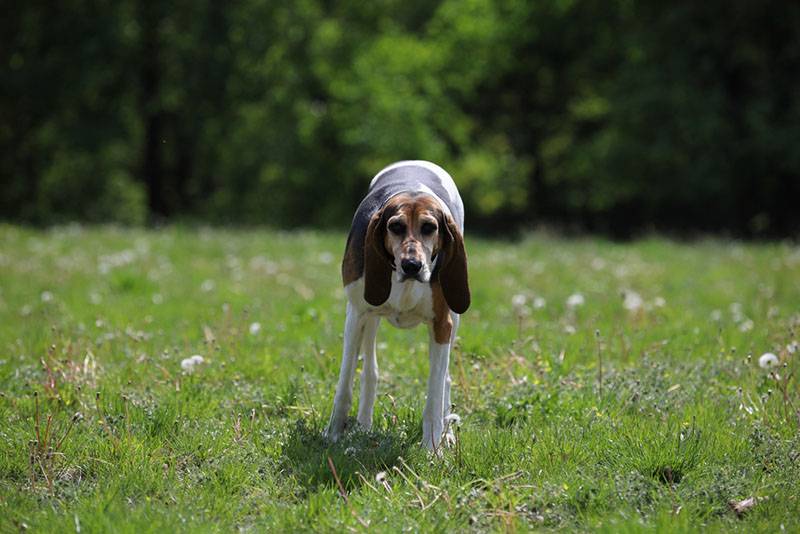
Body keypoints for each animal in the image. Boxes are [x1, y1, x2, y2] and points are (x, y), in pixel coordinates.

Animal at [324, 160, 468, 452]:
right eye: (395, 226)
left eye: (430, 227)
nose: (412, 265)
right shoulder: (356, 314)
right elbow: (344, 383)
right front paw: (333, 434)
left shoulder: (442, 324)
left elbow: (434, 394)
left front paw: (432, 448)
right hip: (369, 316)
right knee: (369, 370)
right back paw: (363, 424)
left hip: (454, 318)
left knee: (446, 379)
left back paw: (446, 432)